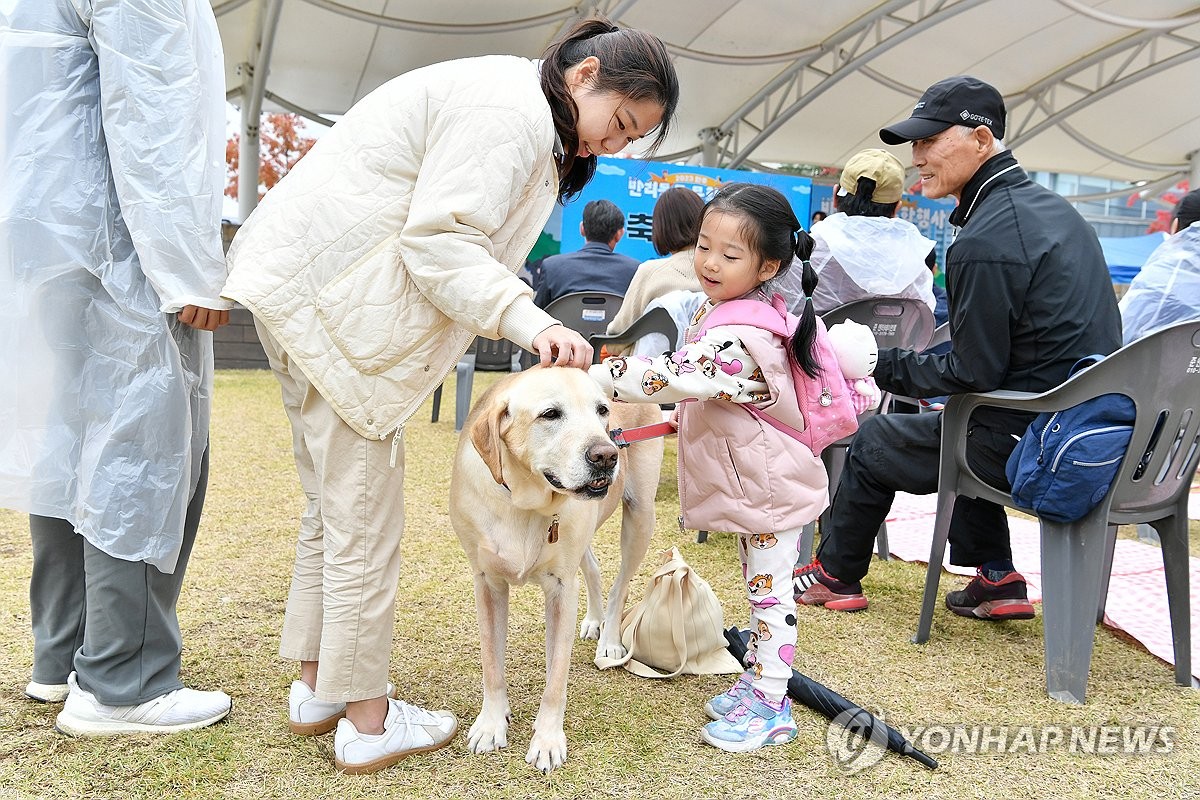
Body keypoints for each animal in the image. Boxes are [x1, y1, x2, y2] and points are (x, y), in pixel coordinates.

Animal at [448, 367, 662, 772]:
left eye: (601, 410)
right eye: (550, 414)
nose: (607, 456)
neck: (523, 503)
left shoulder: (562, 588)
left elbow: (556, 678)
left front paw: (547, 740)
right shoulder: (487, 582)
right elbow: (491, 663)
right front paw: (491, 723)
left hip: (641, 516)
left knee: (621, 584)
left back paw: (609, 638)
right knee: (593, 568)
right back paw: (594, 620)